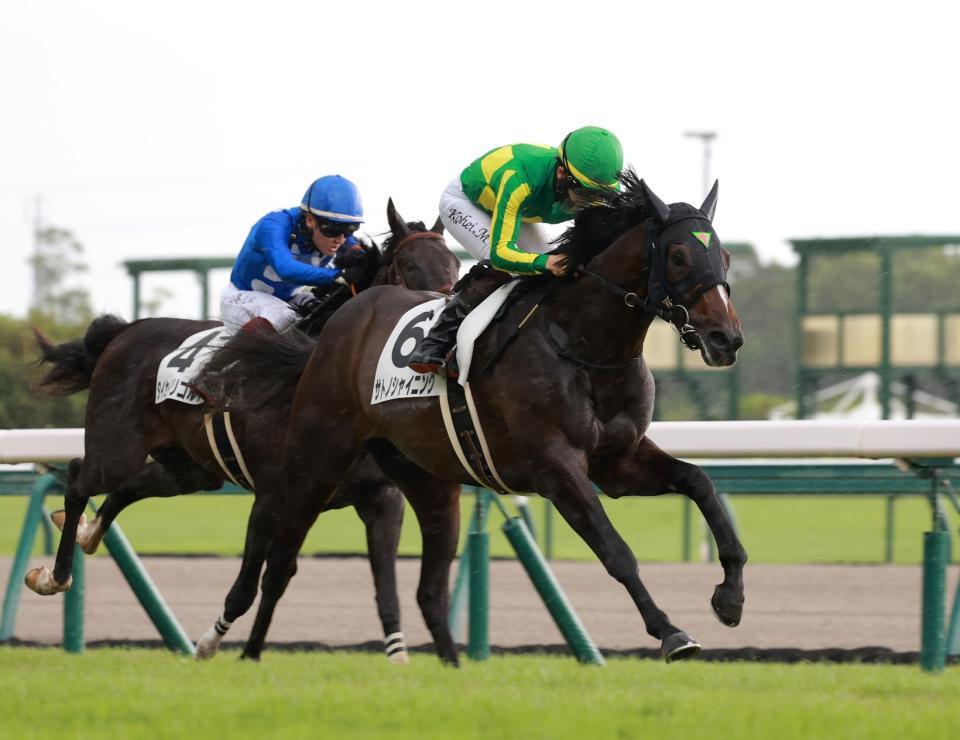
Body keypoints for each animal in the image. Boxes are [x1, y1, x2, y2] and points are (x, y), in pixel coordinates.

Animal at [26, 199, 462, 660]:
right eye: (410, 265)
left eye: (454, 263)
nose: (440, 319)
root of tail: (126, 330)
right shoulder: (272, 496)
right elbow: (249, 587)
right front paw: (211, 644)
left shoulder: (379, 497)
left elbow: (383, 590)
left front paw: (399, 657)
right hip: (118, 449)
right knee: (79, 477)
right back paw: (54, 576)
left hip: (190, 470)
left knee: (130, 486)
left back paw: (89, 535)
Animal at [219, 173, 752, 664]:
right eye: (679, 256)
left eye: (724, 258)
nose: (726, 338)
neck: (582, 344)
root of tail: (348, 314)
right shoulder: (556, 468)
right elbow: (615, 551)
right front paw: (671, 632)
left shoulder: (619, 462)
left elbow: (700, 482)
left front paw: (730, 597)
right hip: (316, 457)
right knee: (278, 556)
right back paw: (235, 646)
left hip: (422, 477)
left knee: (424, 588)